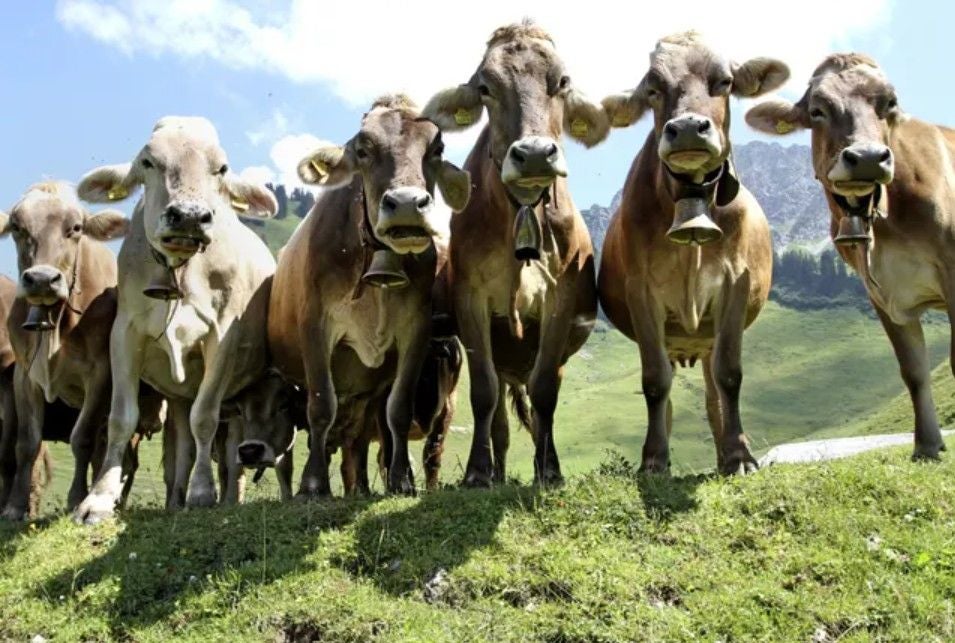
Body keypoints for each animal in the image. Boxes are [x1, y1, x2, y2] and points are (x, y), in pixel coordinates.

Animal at [72, 116, 277, 524]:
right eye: (148, 162)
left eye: (221, 168)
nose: (189, 217)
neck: (180, 271)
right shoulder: (124, 335)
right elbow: (121, 418)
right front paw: (98, 498)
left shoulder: (222, 337)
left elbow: (205, 417)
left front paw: (202, 493)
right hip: (178, 395)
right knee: (181, 448)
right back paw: (175, 501)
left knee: (230, 450)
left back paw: (224, 496)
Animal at [268, 94, 470, 496]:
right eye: (363, 149)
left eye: (436, 148)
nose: (407, 204)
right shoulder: (314, 325)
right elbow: (321, 406)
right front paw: (313, 484)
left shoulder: (415, 330)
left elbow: (398, 410)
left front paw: (401, 480)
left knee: (358, 442)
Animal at [421, 20, 609, 486]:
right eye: (485, 87)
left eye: (562, 81)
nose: (536, 154)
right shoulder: (470, 299)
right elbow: (484, 394)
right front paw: (477, 473)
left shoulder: (560, 300)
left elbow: (544, 395)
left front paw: (549, 470)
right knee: (502, 425)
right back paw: (498, 472)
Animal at [599, 32, 787, 474]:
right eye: (652, 88)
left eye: (725, 81)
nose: (686, 128)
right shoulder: (641, 291)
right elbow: (655, 383)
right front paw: (653, 460)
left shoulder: (736, 283)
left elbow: (730, 376)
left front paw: (739, 456)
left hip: (708, 337)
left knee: (714, 393)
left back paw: (724, 454)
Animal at [746, 54, 954, 461]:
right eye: (817, 109)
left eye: (890, 102)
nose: (869, 158)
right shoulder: (882, 293)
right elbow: (913, 370)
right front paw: (926, 446)